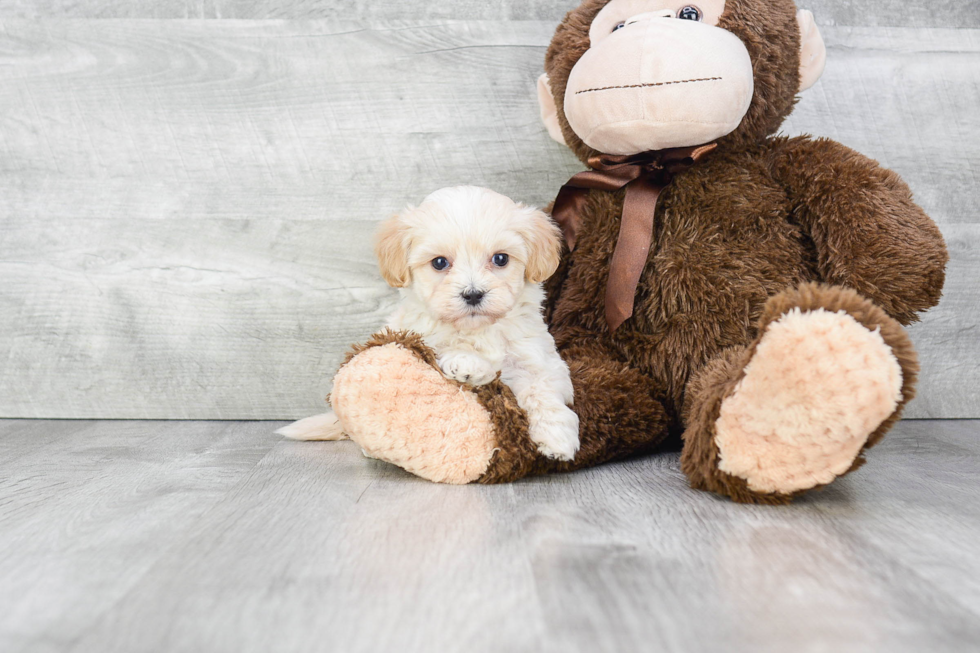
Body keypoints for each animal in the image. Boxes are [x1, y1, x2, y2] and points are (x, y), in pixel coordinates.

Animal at [276, 183, 580, 460]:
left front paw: (557, 439)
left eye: (501, 259)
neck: (477, 329)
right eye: (439, 263)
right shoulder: (415, 333)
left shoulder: (539, 359)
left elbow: (543, 390)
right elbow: (443, 348)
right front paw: (469, 364)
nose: (473, 294)